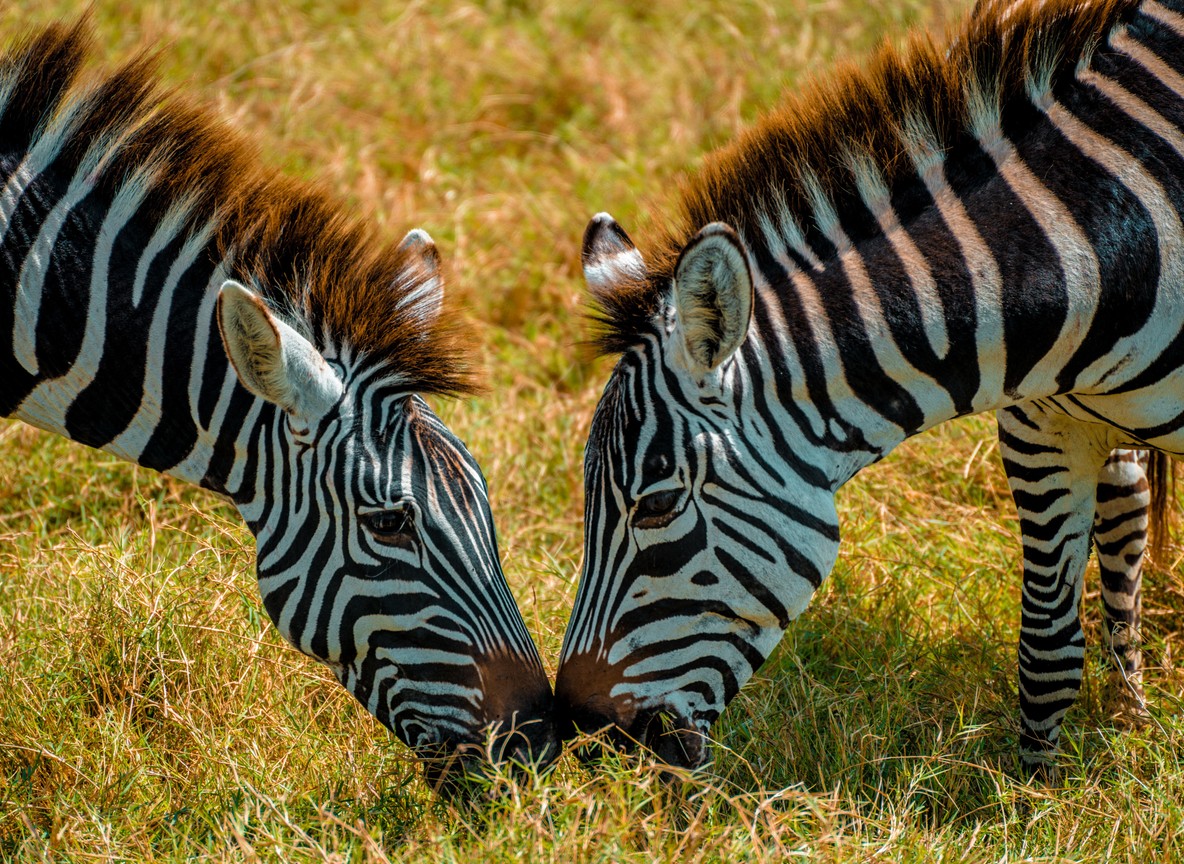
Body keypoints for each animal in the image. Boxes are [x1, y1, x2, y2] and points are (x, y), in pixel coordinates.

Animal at [555, 0, 1183, 777]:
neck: (1095, 250)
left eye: (659, 505)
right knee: (1127, 508)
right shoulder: (1042, 425)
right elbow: (1048, 647)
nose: (583, 733)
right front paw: (1037, 789)